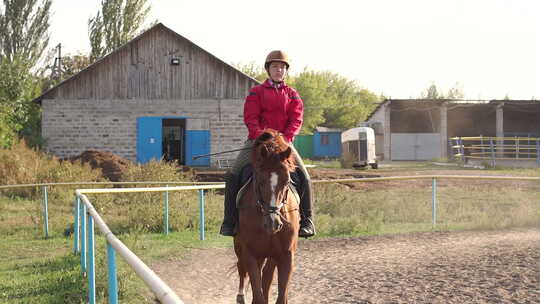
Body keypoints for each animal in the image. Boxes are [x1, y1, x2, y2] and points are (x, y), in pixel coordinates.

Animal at [234, 129, 302, 304]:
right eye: (260, 180)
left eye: (287, 181)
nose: (273, 224)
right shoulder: (250, 254)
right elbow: (257, 294)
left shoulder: (286, 256)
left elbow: (280, 295)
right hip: (240, 247)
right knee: (242, 268)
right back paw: (241, 296)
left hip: (271, 255)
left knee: (266, 275)